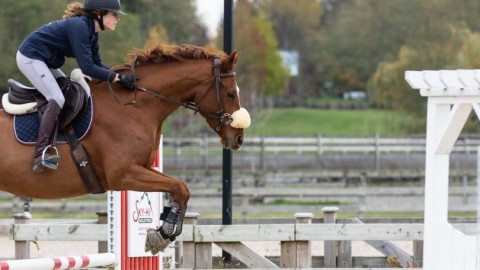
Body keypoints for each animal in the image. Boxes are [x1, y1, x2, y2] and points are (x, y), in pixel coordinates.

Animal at [0, 43, 251, 249]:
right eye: (231, 93)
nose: (238, 138)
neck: (135, 105)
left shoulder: (142, 168)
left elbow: (181, 188)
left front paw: (165, 229)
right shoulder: (123, 174)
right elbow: (179, 187)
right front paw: (164, 233)